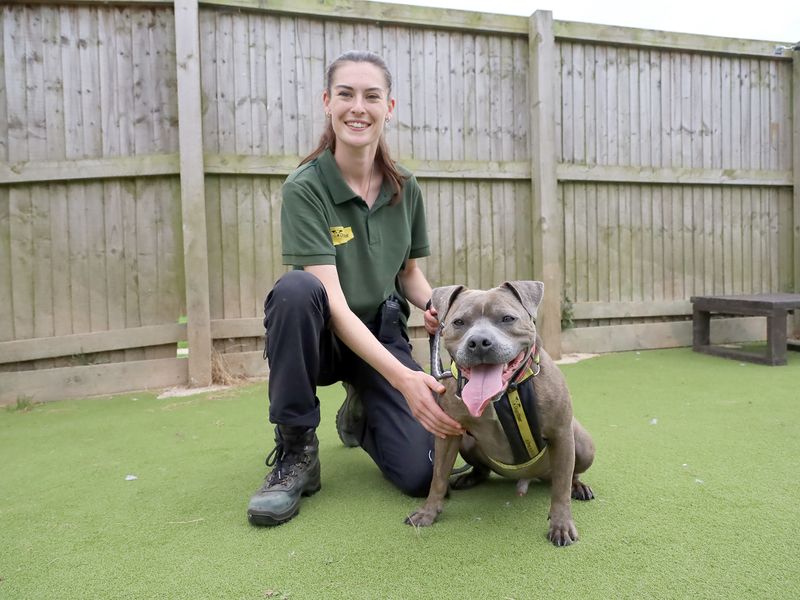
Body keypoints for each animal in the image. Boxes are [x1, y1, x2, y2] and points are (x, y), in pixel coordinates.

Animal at [406, 278, 592, 548]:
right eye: (459, 322)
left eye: (507, 318)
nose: (479, 342)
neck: (501, 396)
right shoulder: (448, 435)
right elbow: (438, 477)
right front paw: (428, 512)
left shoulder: (561, 434)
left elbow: (561, 490)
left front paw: (561, 525)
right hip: (467, 442)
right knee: (482, 468)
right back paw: (469, 478)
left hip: (582, 444)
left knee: (568, 475)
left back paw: (578, 486)